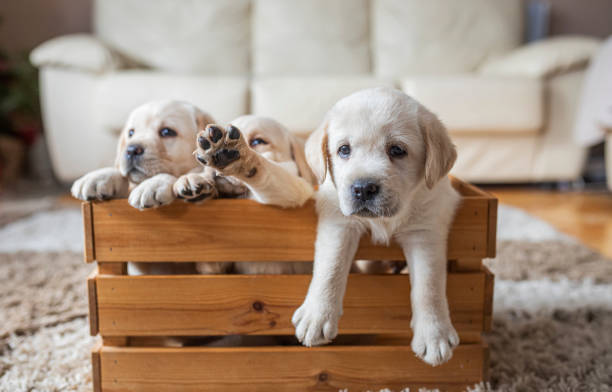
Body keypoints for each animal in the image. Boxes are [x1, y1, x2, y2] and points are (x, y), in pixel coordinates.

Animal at [292, 87, 460, 366]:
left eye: (397, 150)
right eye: (344, 150)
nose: (363, 188)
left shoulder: (425, 231)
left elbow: (429, 285)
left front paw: (434, 334)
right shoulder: (338, 220)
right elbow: (330, 266)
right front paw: (317, 315)